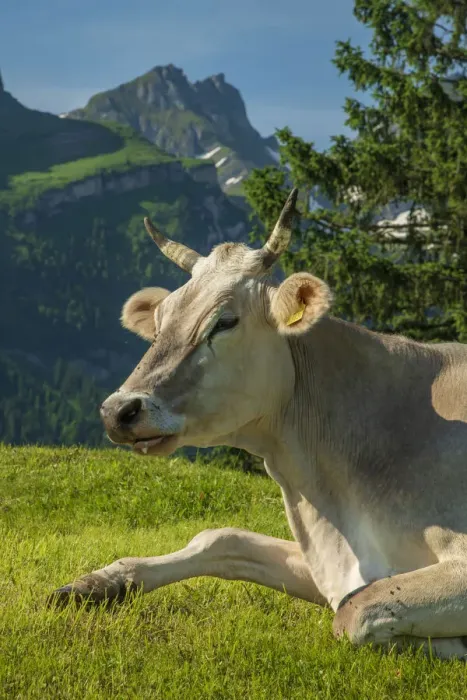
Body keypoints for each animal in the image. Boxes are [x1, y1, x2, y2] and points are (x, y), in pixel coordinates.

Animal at [51, 189, 467, 660]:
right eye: (158, 323)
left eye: (224, 321)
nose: (118, 411)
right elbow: (221, 537)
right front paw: (98, 582)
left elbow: (353, 611)